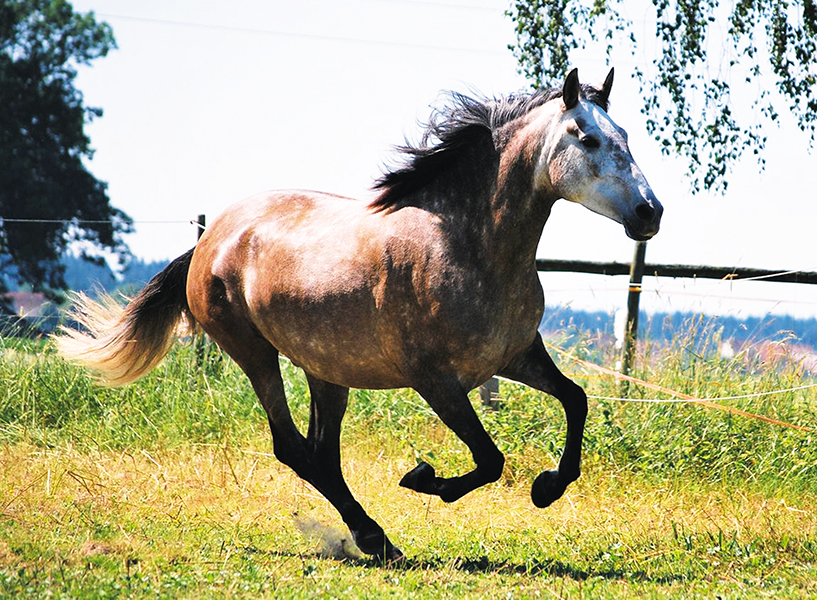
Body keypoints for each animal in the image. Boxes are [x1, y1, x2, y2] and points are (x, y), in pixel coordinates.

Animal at [52, 68, 664, 560]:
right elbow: (490, 459)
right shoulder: (435, 380)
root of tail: (212, 237)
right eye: (587, 137)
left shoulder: (514, 356)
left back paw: (375, 539)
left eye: (625, 136)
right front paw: (424, 478)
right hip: (254, 353)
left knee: (321, 453)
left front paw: (546, 487)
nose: (649, 212)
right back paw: (375, 538)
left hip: (326, 369)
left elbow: (576, 400)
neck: (467, 244)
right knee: (293, 448)